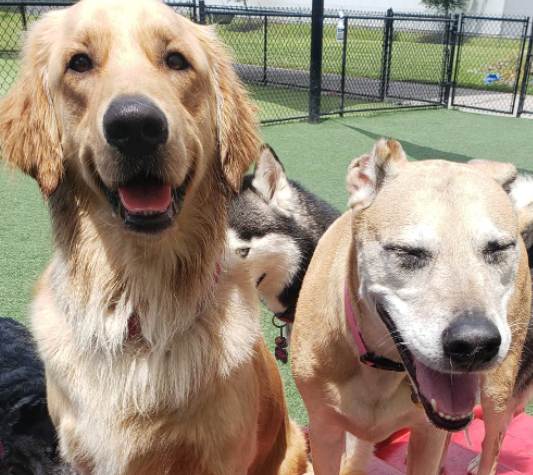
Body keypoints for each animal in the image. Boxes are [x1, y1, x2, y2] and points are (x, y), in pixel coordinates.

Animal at [291, 139, 531, 475]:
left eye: (498, 249)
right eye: (407, 252)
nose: (474, 344)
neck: (379, 364)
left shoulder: (426, 434)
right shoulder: (325, 430)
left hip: (498, 387)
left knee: (492, 445)